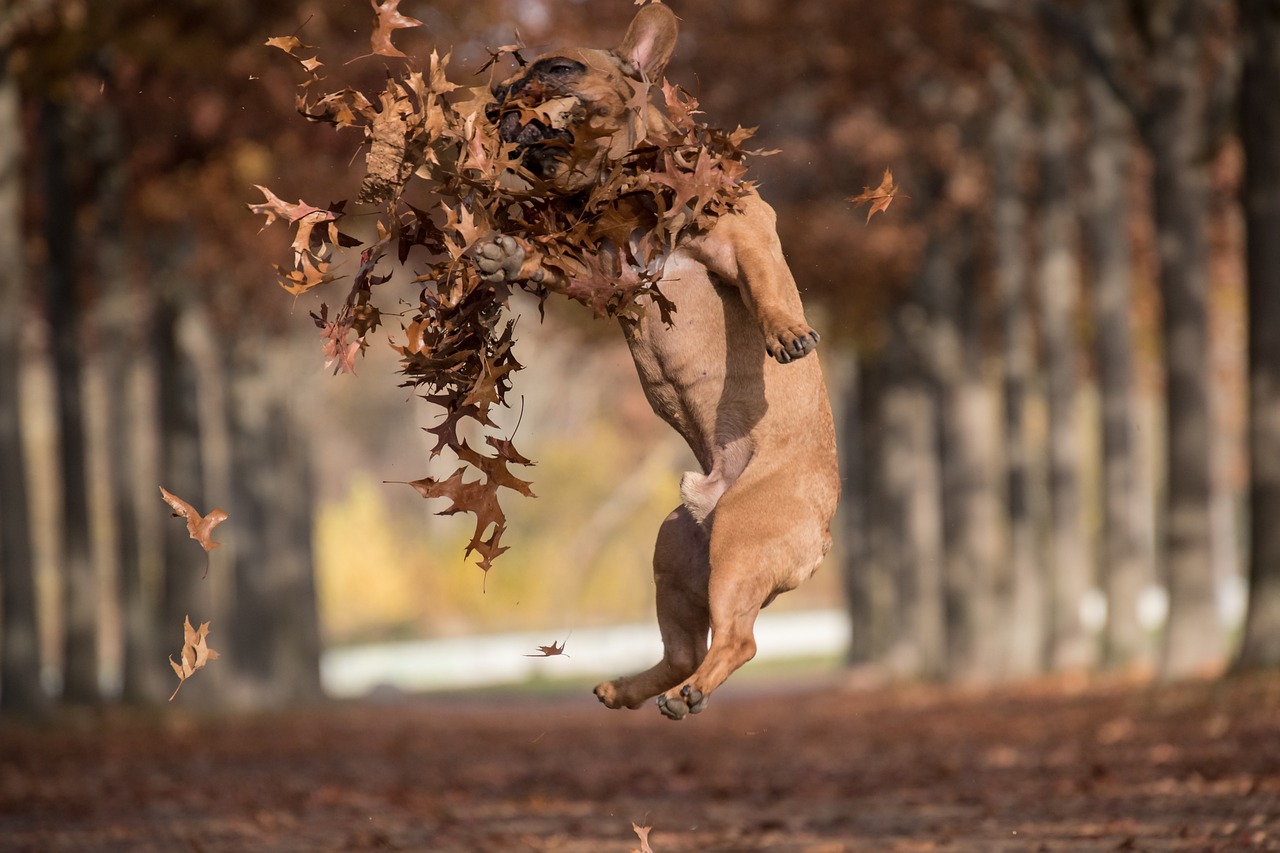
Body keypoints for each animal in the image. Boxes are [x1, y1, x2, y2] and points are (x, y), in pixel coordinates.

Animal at [473, 1, 839, 717]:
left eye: (559, 68)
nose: (500, 99)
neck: (628, 189)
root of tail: (822, 535)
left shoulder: (743, 231)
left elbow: (767, 283)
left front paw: (787, 332)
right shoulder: (606, 275)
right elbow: (558, 265)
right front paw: (509, 256)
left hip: (742, 538)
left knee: (737, 642)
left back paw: (687, 695)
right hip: (675, 553)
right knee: (688, 649)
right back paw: (627, 689)